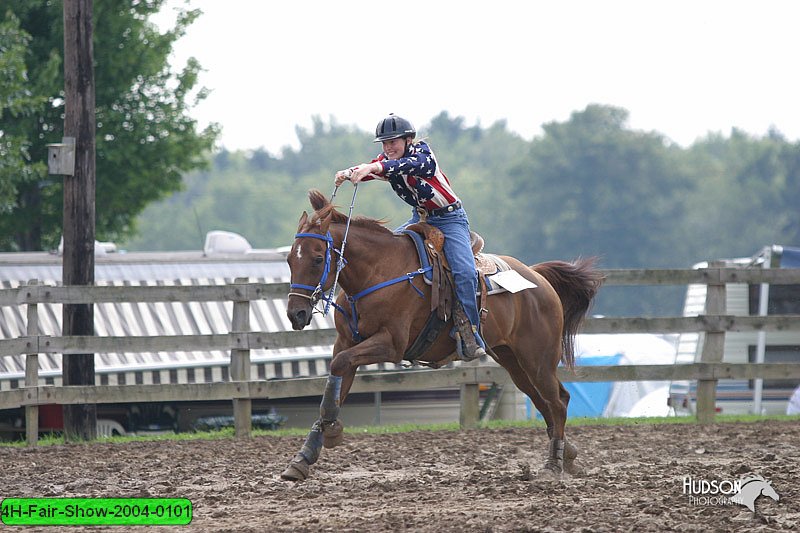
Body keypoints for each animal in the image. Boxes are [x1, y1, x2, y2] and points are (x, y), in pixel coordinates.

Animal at [282, 189, 600, 480]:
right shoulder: (346, 343)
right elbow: (336, 381)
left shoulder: (390, 344)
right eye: (289, 260)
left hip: (538, 359)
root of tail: (538, 278)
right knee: (544, 401)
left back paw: (554, 464)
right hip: (513, 361)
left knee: (558, 402)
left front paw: (330, 433)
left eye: (317, 258)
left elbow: (339, 368)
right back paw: (568, 455)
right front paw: (304, 457)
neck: (379, 273)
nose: (295, 313)